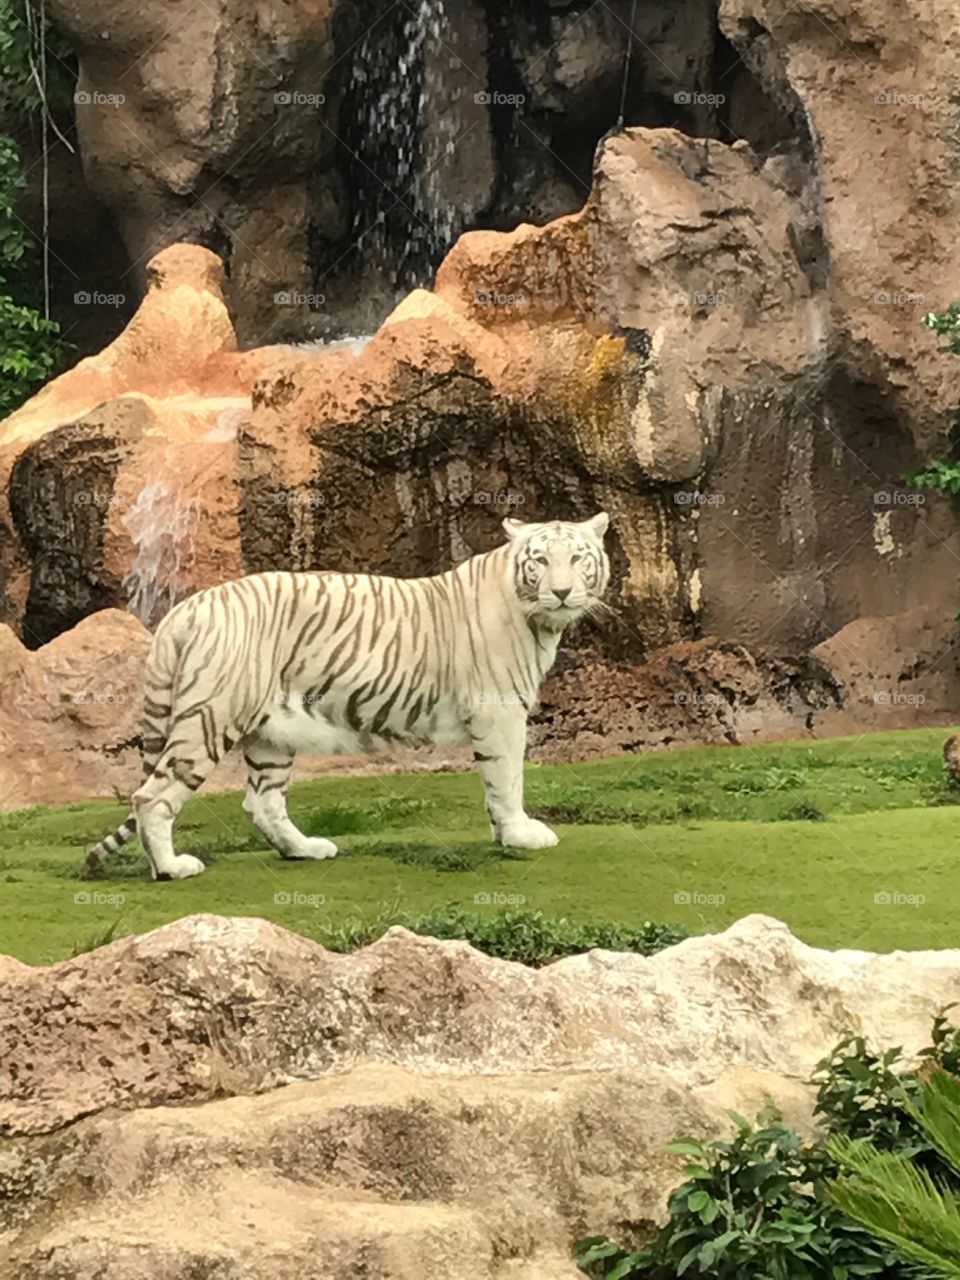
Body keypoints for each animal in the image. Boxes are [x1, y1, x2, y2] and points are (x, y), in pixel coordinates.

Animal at [85, 512, 610, 880]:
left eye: (577, 558)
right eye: (540, 560)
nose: (562, 592)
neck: (538, 620)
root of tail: (184, 609)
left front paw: (507, 834)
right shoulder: (499, 711)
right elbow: (507, 778)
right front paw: (520, 835)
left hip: (271, 734)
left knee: (261, 802)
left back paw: (304, 850)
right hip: (211, 716)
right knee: (152, 796)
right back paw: (171, 868)